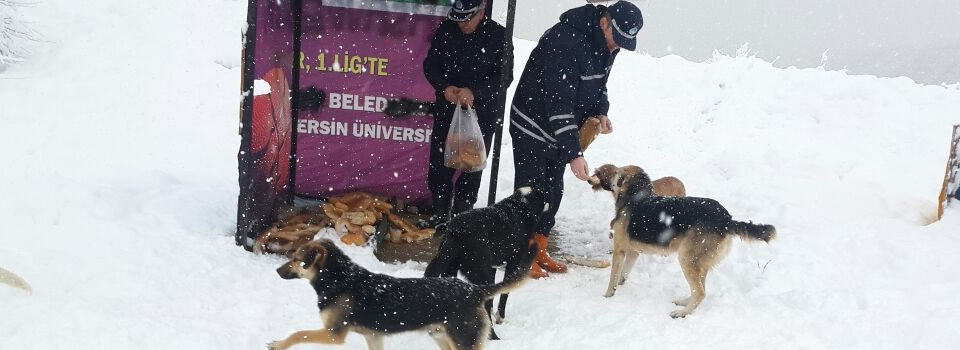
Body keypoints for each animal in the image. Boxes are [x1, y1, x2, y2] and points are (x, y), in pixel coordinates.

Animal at [270, 239, 536, 348]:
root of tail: (474, 289)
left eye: (295, 258)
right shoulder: (374, 337)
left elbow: (297, 334)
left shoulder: (334, 334)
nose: (276, 270)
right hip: (442, 337)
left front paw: (278, 344)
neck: (340, 279)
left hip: (463, 339)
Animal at [426, 186, 552, 336]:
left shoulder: (493, 266)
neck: (520, 205)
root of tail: (456, 233)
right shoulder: (514, 263)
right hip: (480, 273)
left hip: (451, 271)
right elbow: (504, 293)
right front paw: (500, 317)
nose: (551, 205)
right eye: (545, 193)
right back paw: (493, 335)